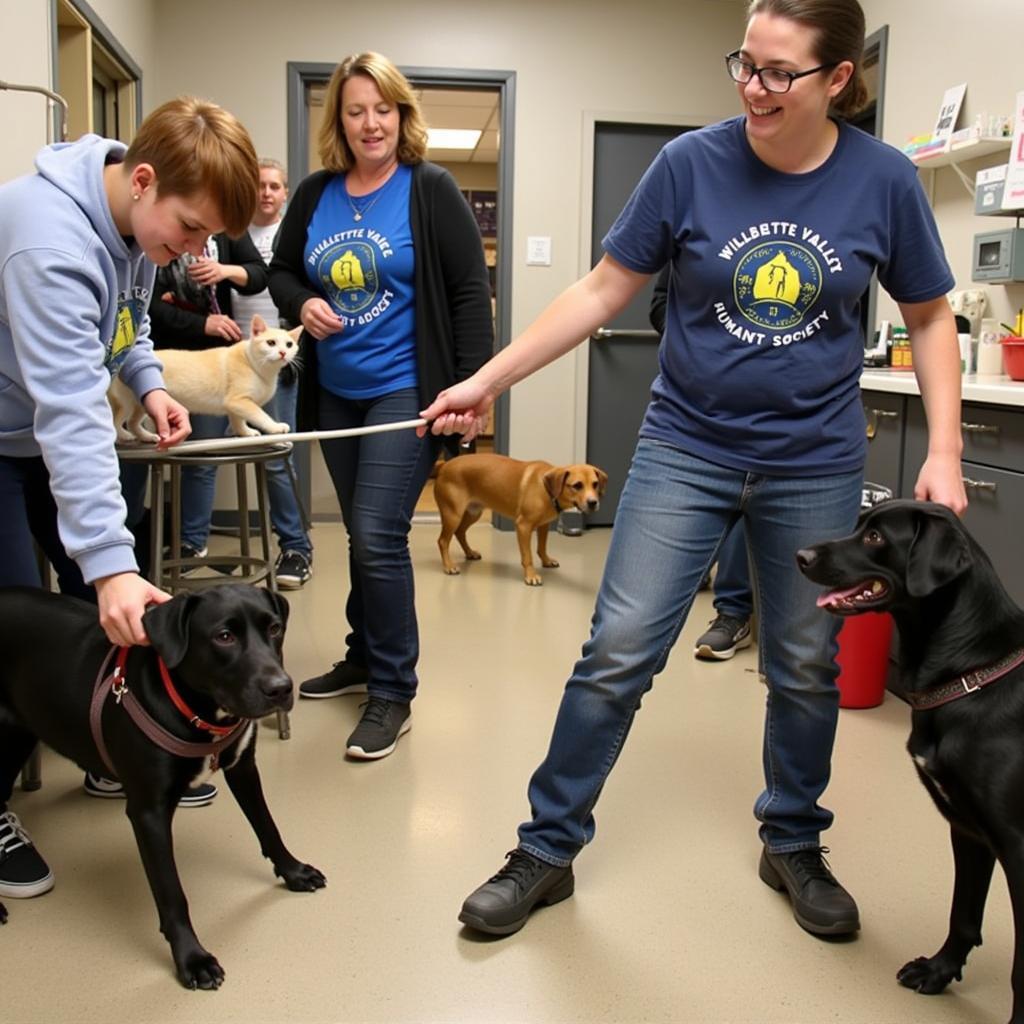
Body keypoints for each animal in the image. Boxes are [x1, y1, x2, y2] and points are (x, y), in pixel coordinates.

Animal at [0, 585, 323, 991]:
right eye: (224, 636)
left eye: (275, 628)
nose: (281, 688)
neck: (197, 711)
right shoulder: (149, 814)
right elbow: (171, 893)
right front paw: (192, 958)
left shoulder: (244, 769)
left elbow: (268, 826)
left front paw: (293, 871)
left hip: (18, 735)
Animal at [114, 311, 303, 440]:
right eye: (270, 343)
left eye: (289, 344)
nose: (282, 353)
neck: (257, 366)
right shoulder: (238, 401)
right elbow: (261, 416)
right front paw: (275, 427)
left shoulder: (233, 406)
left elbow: (238, 422)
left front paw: (246, 432)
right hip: (127, 403)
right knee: (116, 423)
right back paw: (123, 437)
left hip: (145, 403)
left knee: (132, 423)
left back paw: (147, 437)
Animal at [434, 454, 606, 589]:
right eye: (577, 485)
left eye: (595, 484)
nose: (593, 502)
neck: (545, 488)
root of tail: (444, 465)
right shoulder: (523, 526)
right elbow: (527, 556)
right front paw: (531, 575)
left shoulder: (543, 525)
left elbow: (541, 548)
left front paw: (546, 561)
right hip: (453, 515)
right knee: (443, 541)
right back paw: (449, 566)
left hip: (473, 512)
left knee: (460, 532)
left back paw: (469, 552)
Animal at [794, 499, 1024, 1019]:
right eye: (861, 524)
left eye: (877, 537)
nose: (801, 555)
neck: (973, 672)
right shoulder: (968, 830)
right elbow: (963, 914)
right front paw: (938, 972)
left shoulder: (1019, 847)